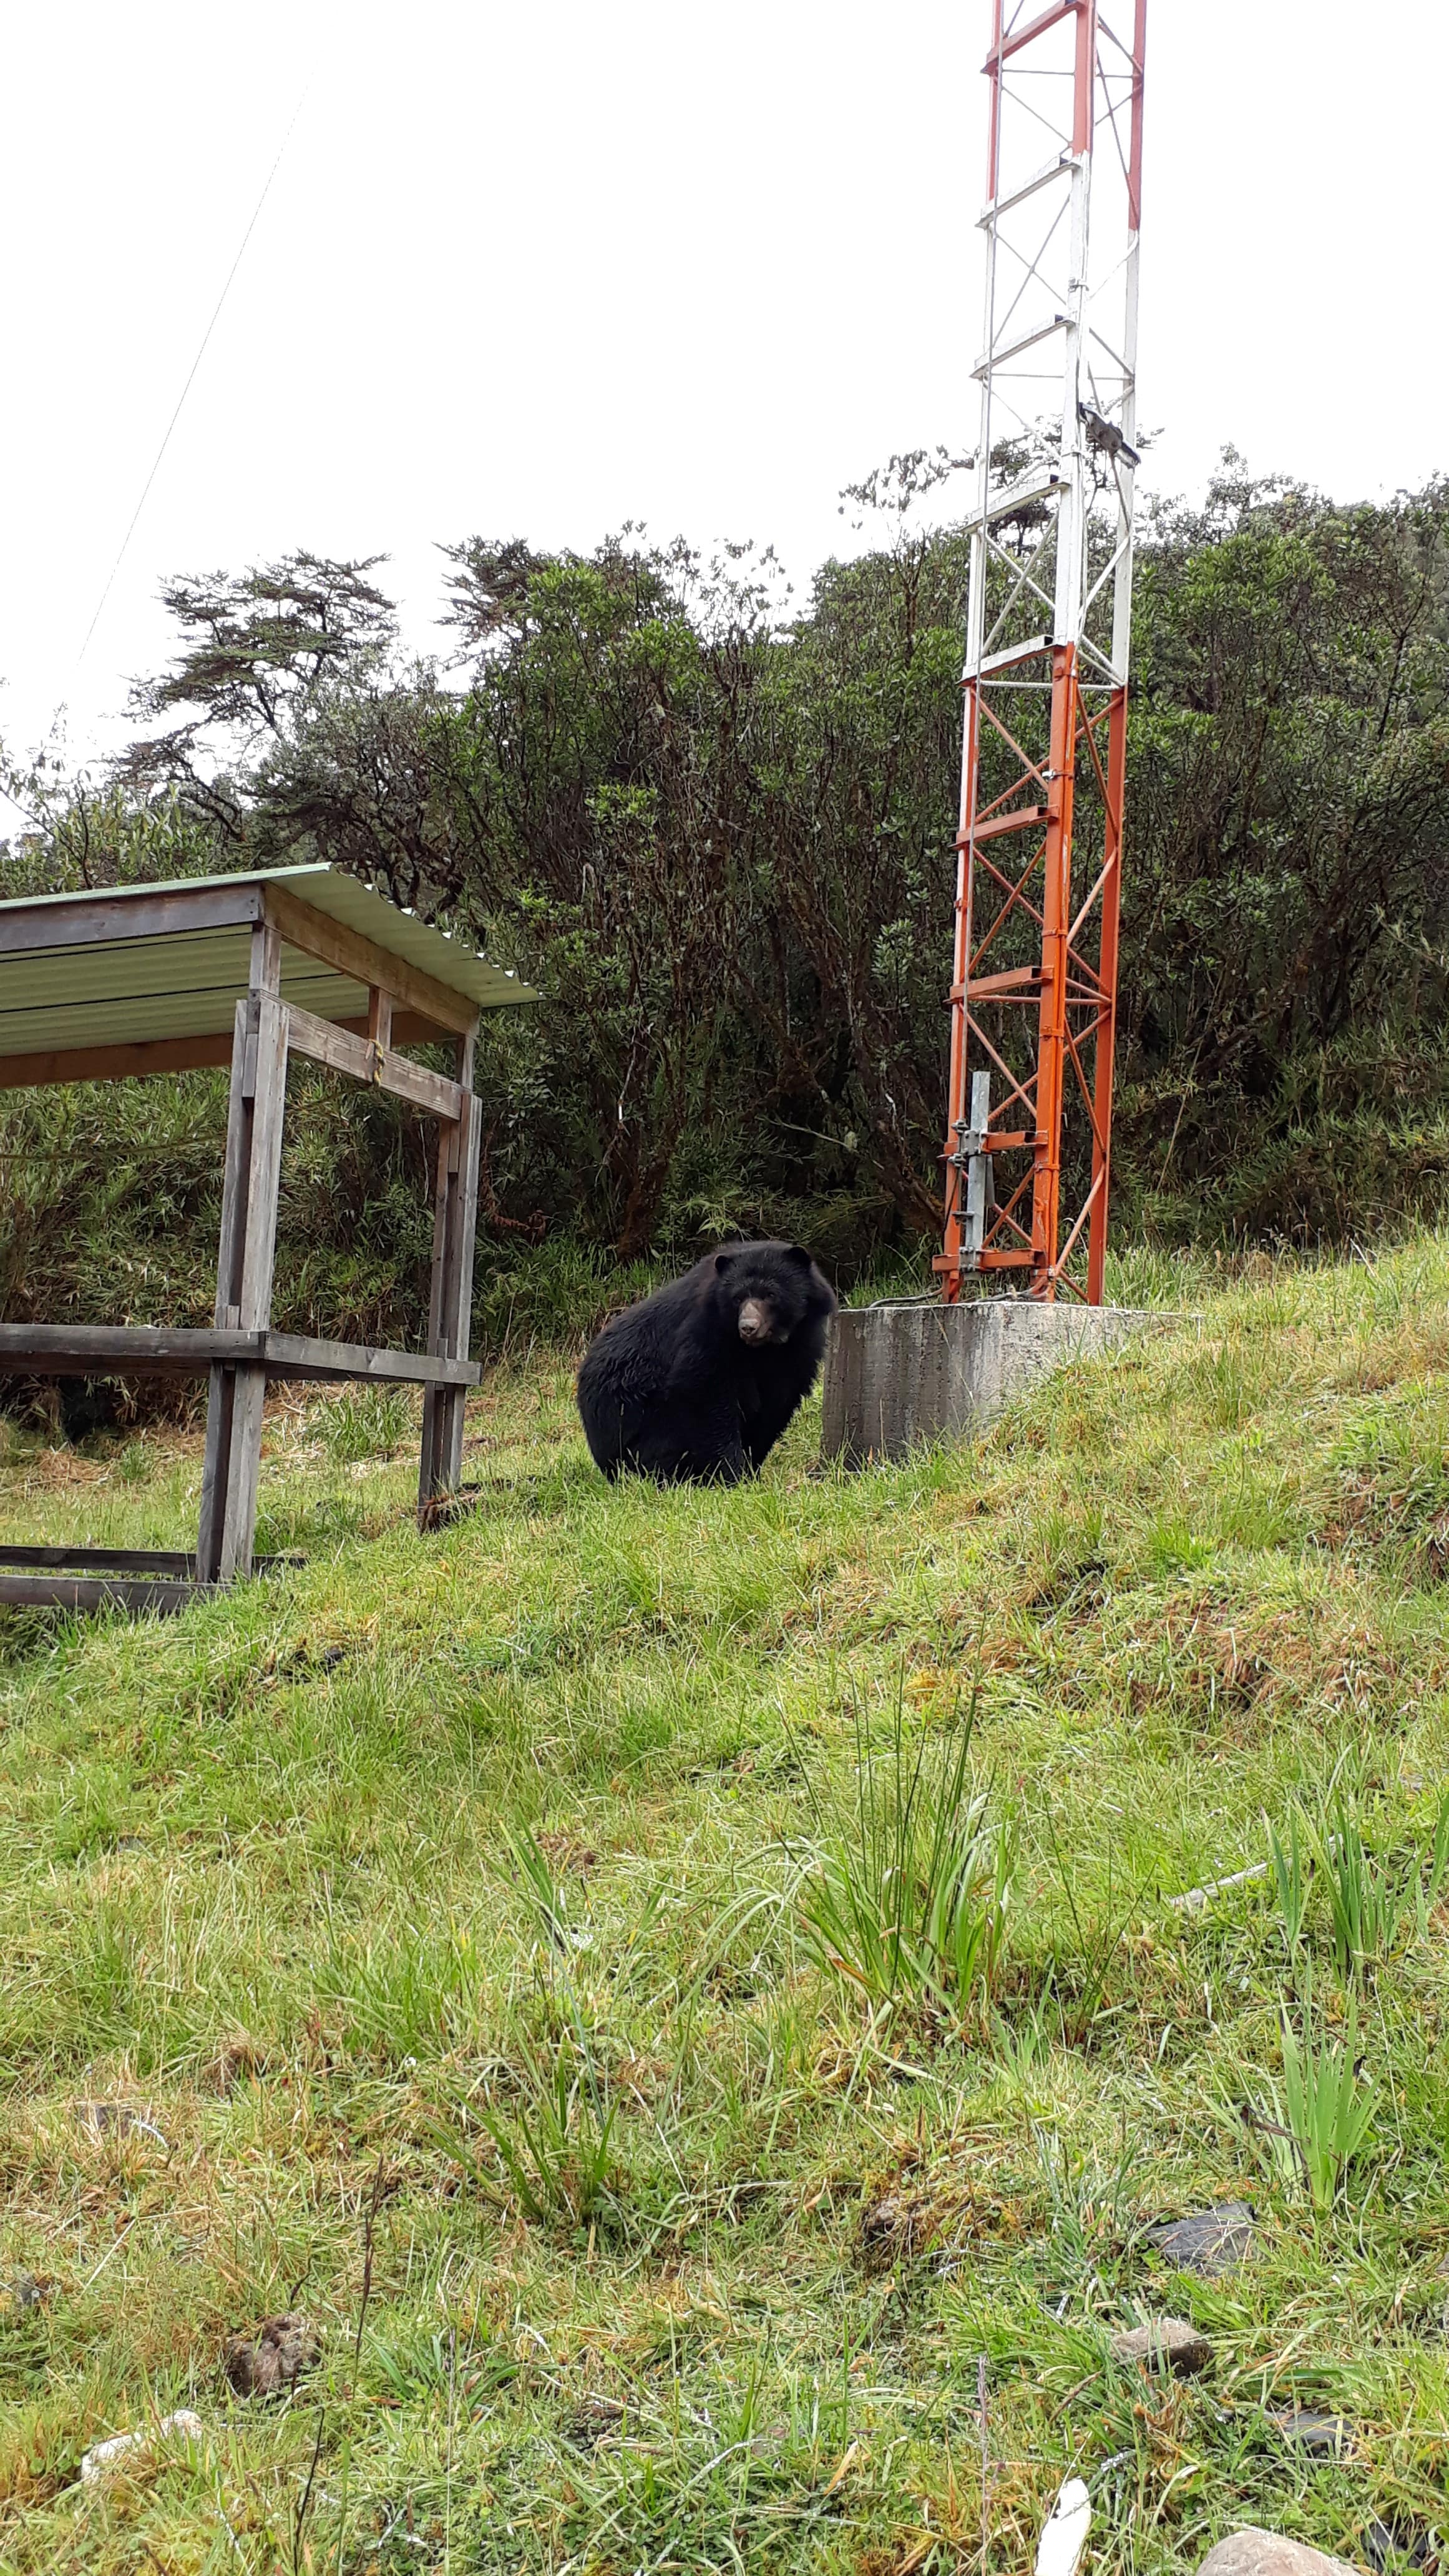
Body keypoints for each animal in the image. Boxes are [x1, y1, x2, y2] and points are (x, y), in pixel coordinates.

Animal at [575, 1241, 835, 1494]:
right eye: (738, 1298)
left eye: (771, 1295)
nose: (748, 1327)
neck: (762, 1349)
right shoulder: (706, 1332)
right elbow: (705, 1394)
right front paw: (733, 1475)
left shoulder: (799, 1347)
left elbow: (777, 1404)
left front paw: (751, 1470)